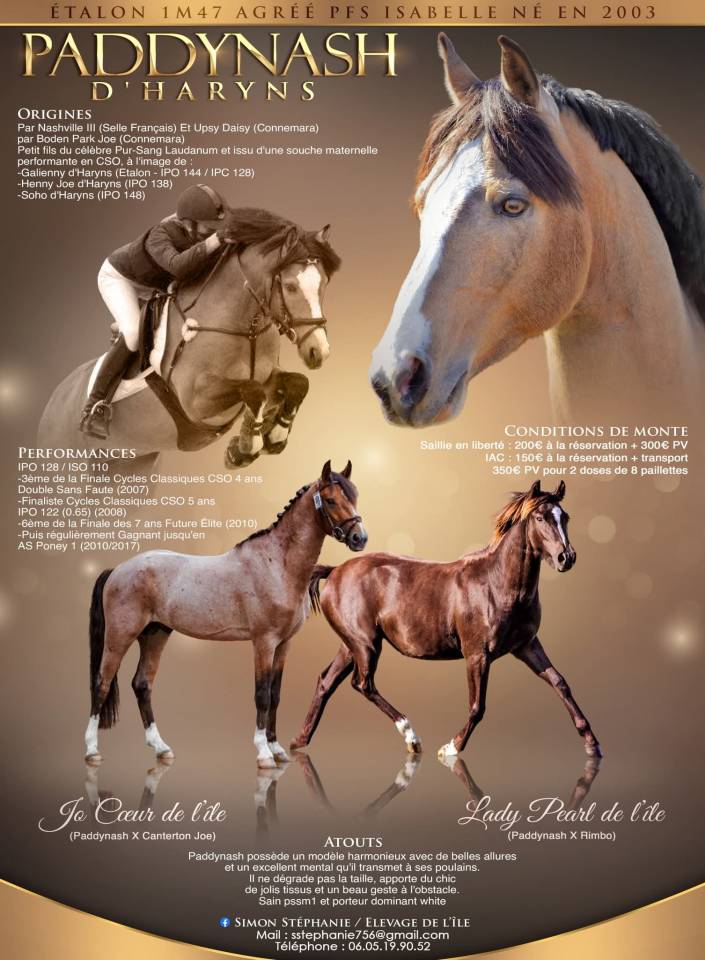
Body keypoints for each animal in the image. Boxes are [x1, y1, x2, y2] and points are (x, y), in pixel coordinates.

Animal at [39, 208, 341, 471]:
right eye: (290, 287)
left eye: (325, 284)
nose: (319, 351)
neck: (245, 327)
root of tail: (54, 399)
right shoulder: (196, 399)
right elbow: (253, 391)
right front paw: (245, 448)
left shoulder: (267, 375)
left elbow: (298, 383)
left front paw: (274, 433)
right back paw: (93, 416)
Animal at [83, 460, 367, 768]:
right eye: (331, 500)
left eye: (354, 497)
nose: (360, 538)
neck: (277, 564)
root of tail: (117, 569)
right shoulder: (264, 642)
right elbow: (262, 695)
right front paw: (264, 753)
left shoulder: (284, 644)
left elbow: (276, 695)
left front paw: (277, 749)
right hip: (120, 636)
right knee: (101, 684)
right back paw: (92, 751)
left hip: (155, 634)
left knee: (142, 684)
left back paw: (161, 748)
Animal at [291, 480, 602, 760]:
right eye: (539, 517)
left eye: (565, 516)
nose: (566, 557)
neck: (496, 584)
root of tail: (334, 571)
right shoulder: (477, 654)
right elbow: (478, 706)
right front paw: (451, 747)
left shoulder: (526, 646)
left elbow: (560, 683)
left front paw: (592, 744)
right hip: (366, 645)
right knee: (363, 684)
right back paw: (412, 738)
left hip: (351, 645)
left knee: (326, 682)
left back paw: (298, 741)